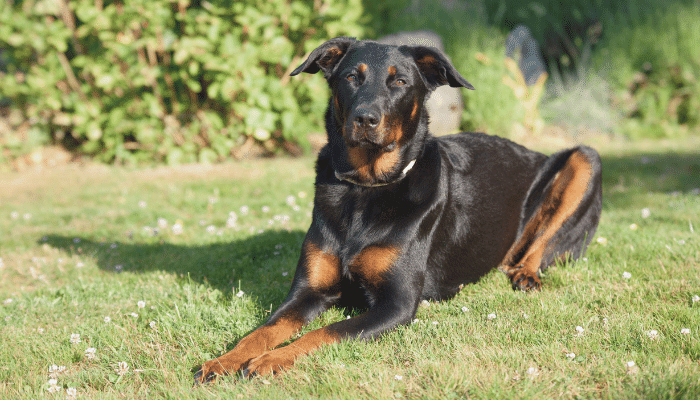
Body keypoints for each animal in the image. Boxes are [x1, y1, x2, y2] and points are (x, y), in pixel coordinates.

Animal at [193, 38, 600, 384]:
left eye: (400, 81)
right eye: (351, 77)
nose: (365, 118)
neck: (364, 189)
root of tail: (535, 152)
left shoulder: (397, 305)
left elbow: (325, 332)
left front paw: (271, 360)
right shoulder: (307, 291)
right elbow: (263, 330)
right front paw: (224, 360)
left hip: (585, 158)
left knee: (540, 245)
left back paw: (526, 273)